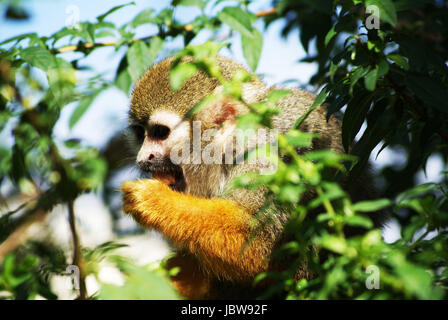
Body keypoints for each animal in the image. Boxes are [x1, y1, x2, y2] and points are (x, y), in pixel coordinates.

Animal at [121, 55, 378, 300]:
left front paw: (156, 202)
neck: (229, 149)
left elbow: (262, 244)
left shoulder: (264, 158)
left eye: (160, 133)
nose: (144, 157)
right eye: (140, 134)